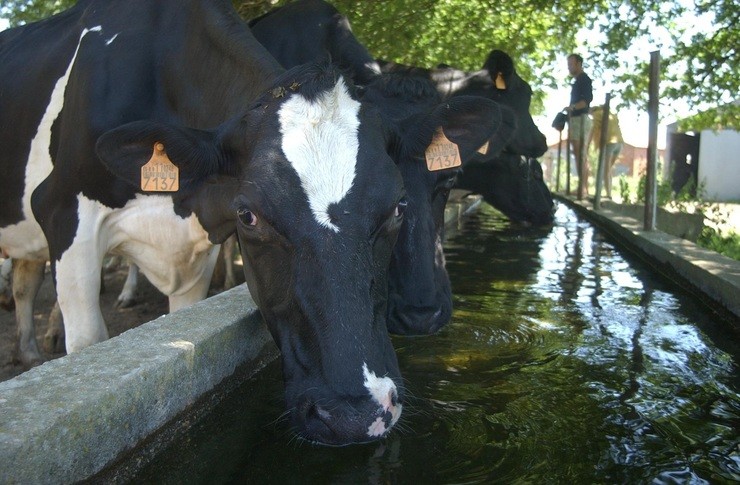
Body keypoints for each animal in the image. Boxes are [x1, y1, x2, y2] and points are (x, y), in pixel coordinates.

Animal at [0, 0, 506, 442]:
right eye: (248, 215)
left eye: (398, 206)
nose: (356, 416)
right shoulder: (62, 213)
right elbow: (87, 337)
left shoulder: (194, 258)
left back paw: (27, 347)